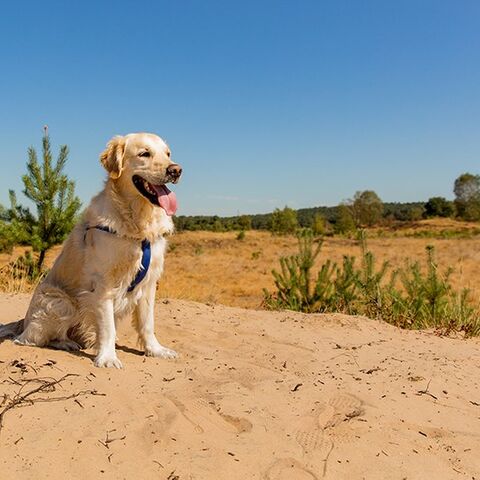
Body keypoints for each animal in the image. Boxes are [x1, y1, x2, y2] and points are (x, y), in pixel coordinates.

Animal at [0, 131, 182, 368]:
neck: (137, 223)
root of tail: (23, 323)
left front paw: (155, 350)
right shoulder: (104, 284)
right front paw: (108, 357)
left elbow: (147, 323)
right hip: (60, 302)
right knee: (30, 339)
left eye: (168, 154)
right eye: (144, 154)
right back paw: (65, 343)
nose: (176, 170)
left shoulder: (150, 282)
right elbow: (108, 327)